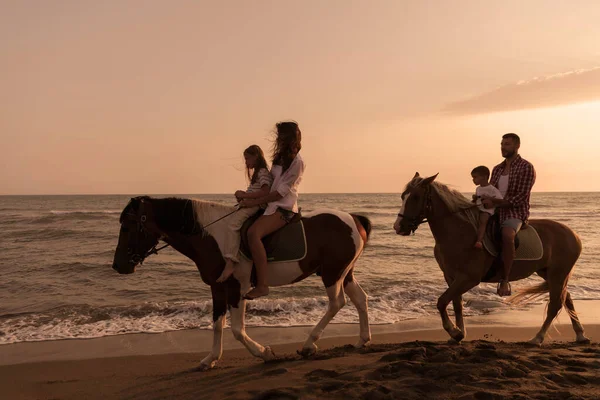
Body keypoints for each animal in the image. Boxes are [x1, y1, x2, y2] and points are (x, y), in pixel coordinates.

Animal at [109, 196, 368, 368]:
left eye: (128, 226)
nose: (118, 265)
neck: (213, 237)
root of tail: (354, 218)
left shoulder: (237, 287)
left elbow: (236, 329)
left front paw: (263, 352)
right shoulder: (217, 287)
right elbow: (217, 324)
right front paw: (210, 359)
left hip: (333, 273)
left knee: (337, 303)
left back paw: (308, 344)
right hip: (345, 272)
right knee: (360, 299)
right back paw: (362, 340)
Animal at [392, 173, 588, 346]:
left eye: (416, 197)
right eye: (403, 196)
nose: (398, 227)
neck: (459, 232)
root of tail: (574, 235)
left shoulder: (469, 278)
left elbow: (441, 302)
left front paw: (454, 332)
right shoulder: (451, 277)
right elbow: (456, 304)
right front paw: (459, 334)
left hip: (558, 274)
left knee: (555, 304)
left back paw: (537, 338)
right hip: (549, 274)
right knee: (567, 298)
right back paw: (580, 335)